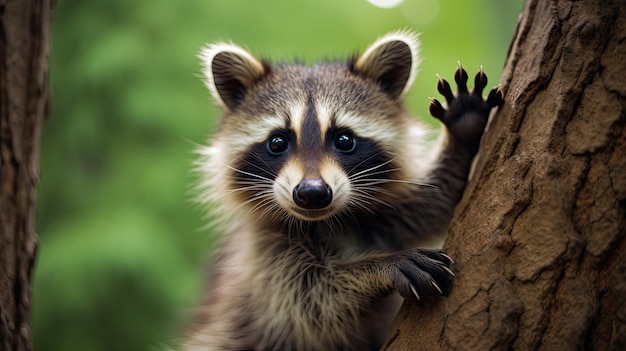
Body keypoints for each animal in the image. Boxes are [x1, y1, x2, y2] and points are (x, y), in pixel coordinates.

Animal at [185, 31, 502, 351]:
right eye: (277, 142)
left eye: (345, 140)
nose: (313, 193)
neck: (322, 221)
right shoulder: (262, 254)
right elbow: (310, 298)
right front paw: (378, 267)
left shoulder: (375, 217)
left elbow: (429, 205)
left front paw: (461, 135)